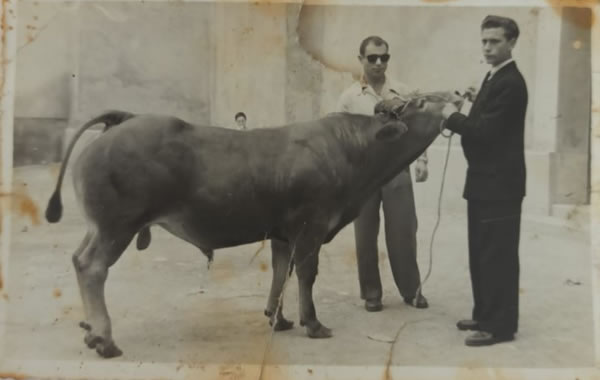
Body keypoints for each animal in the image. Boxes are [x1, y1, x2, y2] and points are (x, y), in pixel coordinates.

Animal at [47, 90, 462, 358]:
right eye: (421, 102)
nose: (458, 96)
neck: (352, 150)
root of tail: (126, 119)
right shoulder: (311, 226)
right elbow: (306, 274)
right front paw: (314, 324)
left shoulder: (282, 233)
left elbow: (281, 272)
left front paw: (278, 318)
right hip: (118, 226)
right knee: (92, 267)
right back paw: (105, 340)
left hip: (99, 226)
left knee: (78, 259)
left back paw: (90, 331)